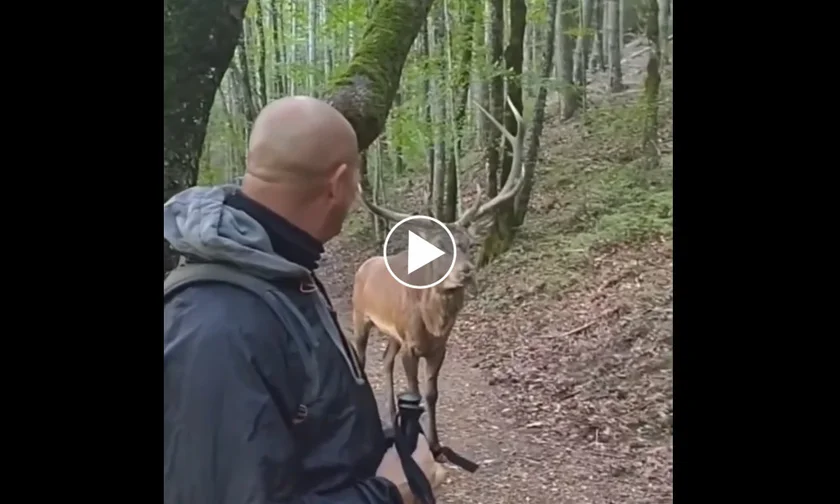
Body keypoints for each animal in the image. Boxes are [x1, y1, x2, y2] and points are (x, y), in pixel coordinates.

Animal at [350, 97, 527, 464]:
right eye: (437, 247)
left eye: (469, 244)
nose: (466, 271)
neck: (432, 321)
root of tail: (364, 266)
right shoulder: (410, 344)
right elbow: (414, 391)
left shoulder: (438, 347)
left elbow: (431, 394)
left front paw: (434, 444)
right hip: (359, 315)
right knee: (361, 357)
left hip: (392, 335)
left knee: (384, 361)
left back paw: (391, 415)